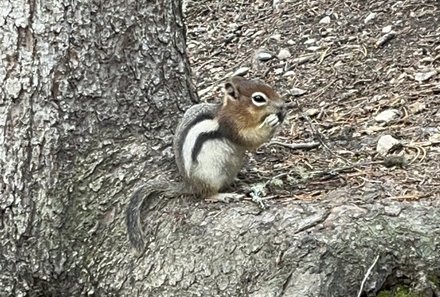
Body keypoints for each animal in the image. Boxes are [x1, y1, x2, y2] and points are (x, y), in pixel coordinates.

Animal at [126, 75, 286, 250]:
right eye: (258, 98)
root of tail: (190, 185)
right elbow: (252, 139)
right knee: (205, 195)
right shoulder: (232, 127)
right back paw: (223, 196)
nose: (282, 105)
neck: (236, 111)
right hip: (211, 176)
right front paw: (271, 122)